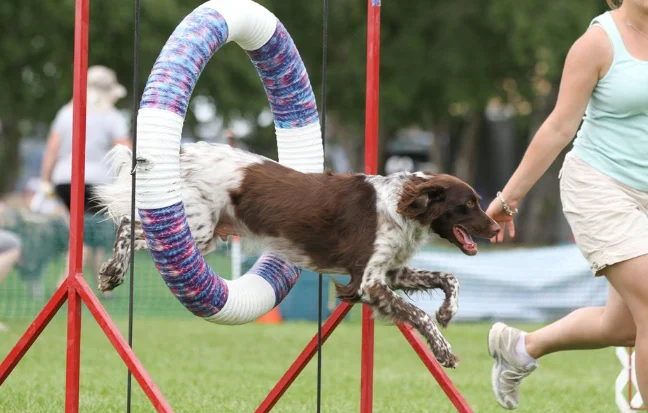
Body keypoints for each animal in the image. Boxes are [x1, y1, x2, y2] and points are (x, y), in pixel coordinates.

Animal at [93, 142, 498, 366]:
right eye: (469, 204)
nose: (496, 227)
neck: (399, 206)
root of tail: (181, 151)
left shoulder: (389, 272)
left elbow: (449, 278)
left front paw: (448, 311)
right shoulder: (367, 282)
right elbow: (418, 315)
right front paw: (443, 350)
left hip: (205, 234)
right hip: (198, 228)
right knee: (128, 224)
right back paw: (112, 272)